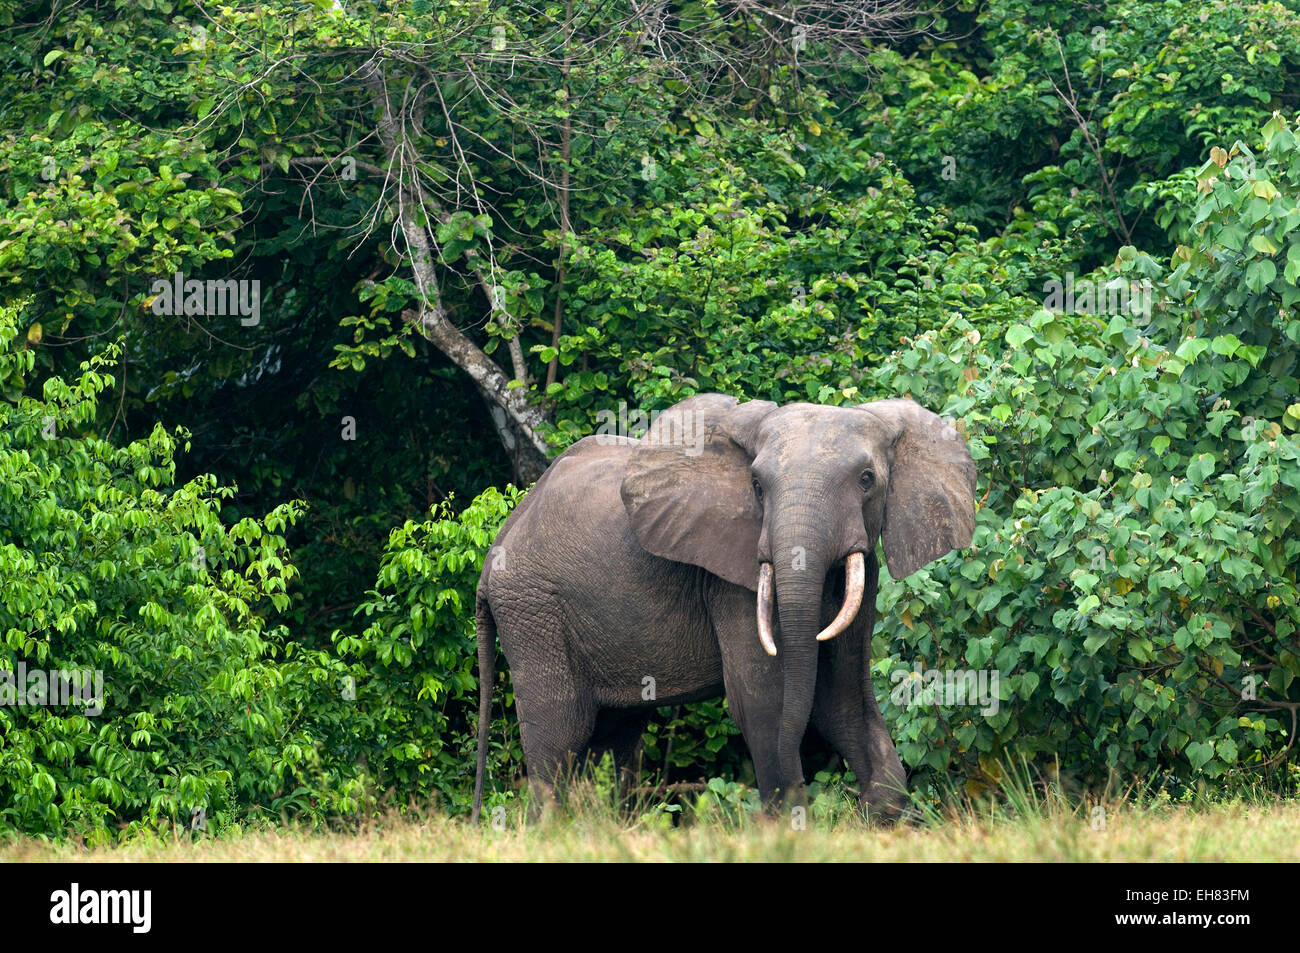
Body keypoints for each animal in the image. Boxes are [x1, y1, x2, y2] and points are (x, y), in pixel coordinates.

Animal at [470, 390, 977, 821]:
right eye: (756, 485)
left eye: (868, 481)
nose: (850, 800)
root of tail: (496, 547)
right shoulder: (731, 579)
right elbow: (761, 697)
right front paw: (793, 825)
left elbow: (843, 694)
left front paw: (878, 808)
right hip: (532, 609)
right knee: (561, 732)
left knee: (614, 738)